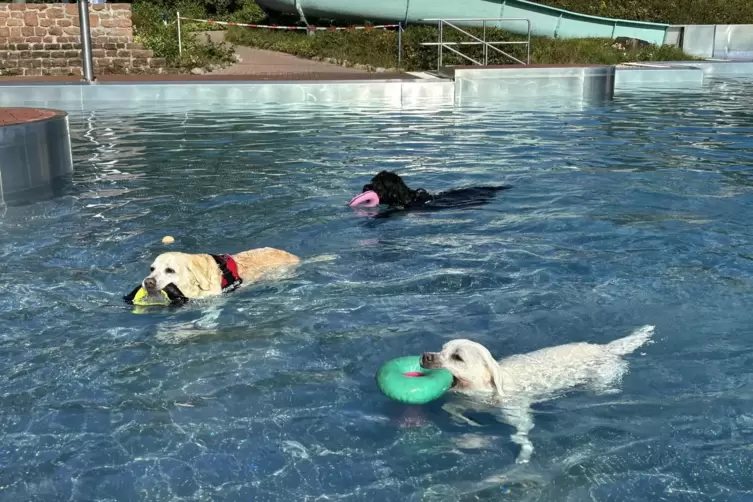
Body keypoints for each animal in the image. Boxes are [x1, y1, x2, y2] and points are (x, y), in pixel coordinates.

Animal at [420, 326, 656, 462]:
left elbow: (522, 434)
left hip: (603, 378)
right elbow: (451, 407)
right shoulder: (467, 399)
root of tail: (605, 348)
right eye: (441, 349)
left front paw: (523, 454)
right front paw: (466, 422)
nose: (425, 356)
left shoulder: (517, 410)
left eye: (457, 357)